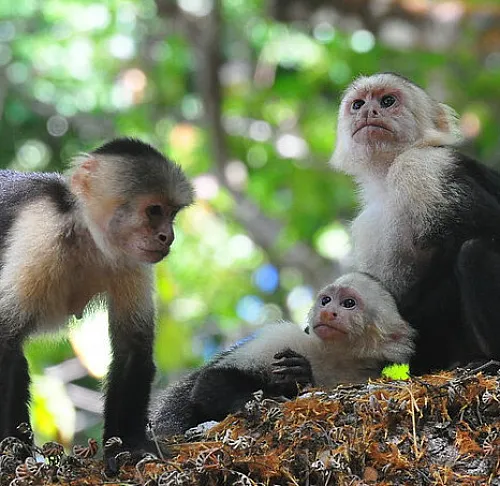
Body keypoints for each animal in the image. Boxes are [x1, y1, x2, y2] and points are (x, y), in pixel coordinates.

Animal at [0, 139, 193, 472]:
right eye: (153, 210)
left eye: (172, 214)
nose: (167, 237)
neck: (85, 235)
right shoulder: (42, 232)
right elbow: (1, 339)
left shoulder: (131, 259)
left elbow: (132, 349)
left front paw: (130, 445)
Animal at [148, 274, 414, 436]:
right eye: (326, 300)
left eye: (348, 303)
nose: (327, 312)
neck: (334, 357)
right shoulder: (285, 337)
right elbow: (210, 380)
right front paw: (252, 401)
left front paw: (299, 376)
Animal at [330, 72, 500, 374]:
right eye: (358, 104)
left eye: (387, 101)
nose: (368, 111)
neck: (386, 176)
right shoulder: (366, 224)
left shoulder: (421, 167)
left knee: (474, 251)